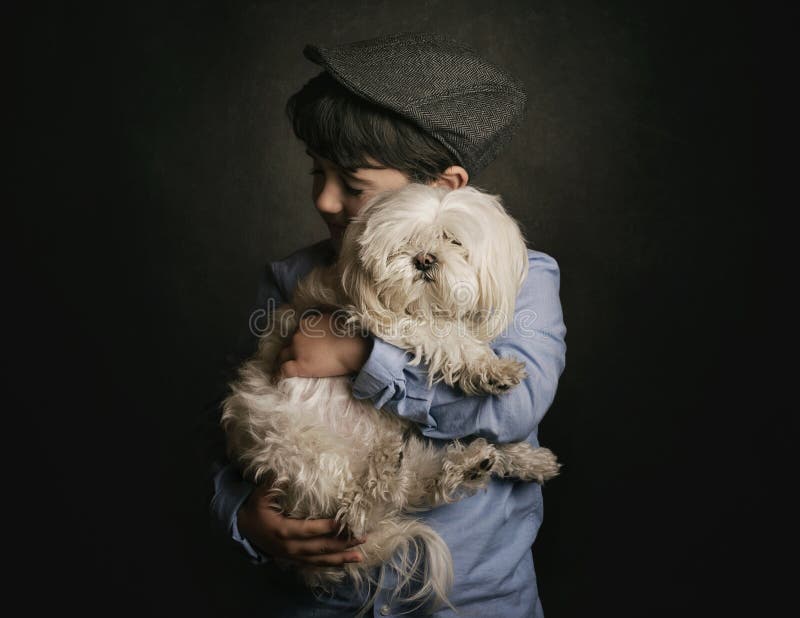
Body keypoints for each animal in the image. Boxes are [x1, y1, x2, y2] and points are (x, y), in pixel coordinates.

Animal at [222, 182, 560, 612]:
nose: (424, 260)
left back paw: (476, 464)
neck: (430, 305)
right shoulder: (376, 318)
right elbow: (444, 335)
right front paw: (489, 366)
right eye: (407, 242)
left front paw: (521, 448)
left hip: (391, 443)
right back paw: (384, 478)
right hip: (302, 449)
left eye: (452, 240)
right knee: (355, 515)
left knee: (415, 481)